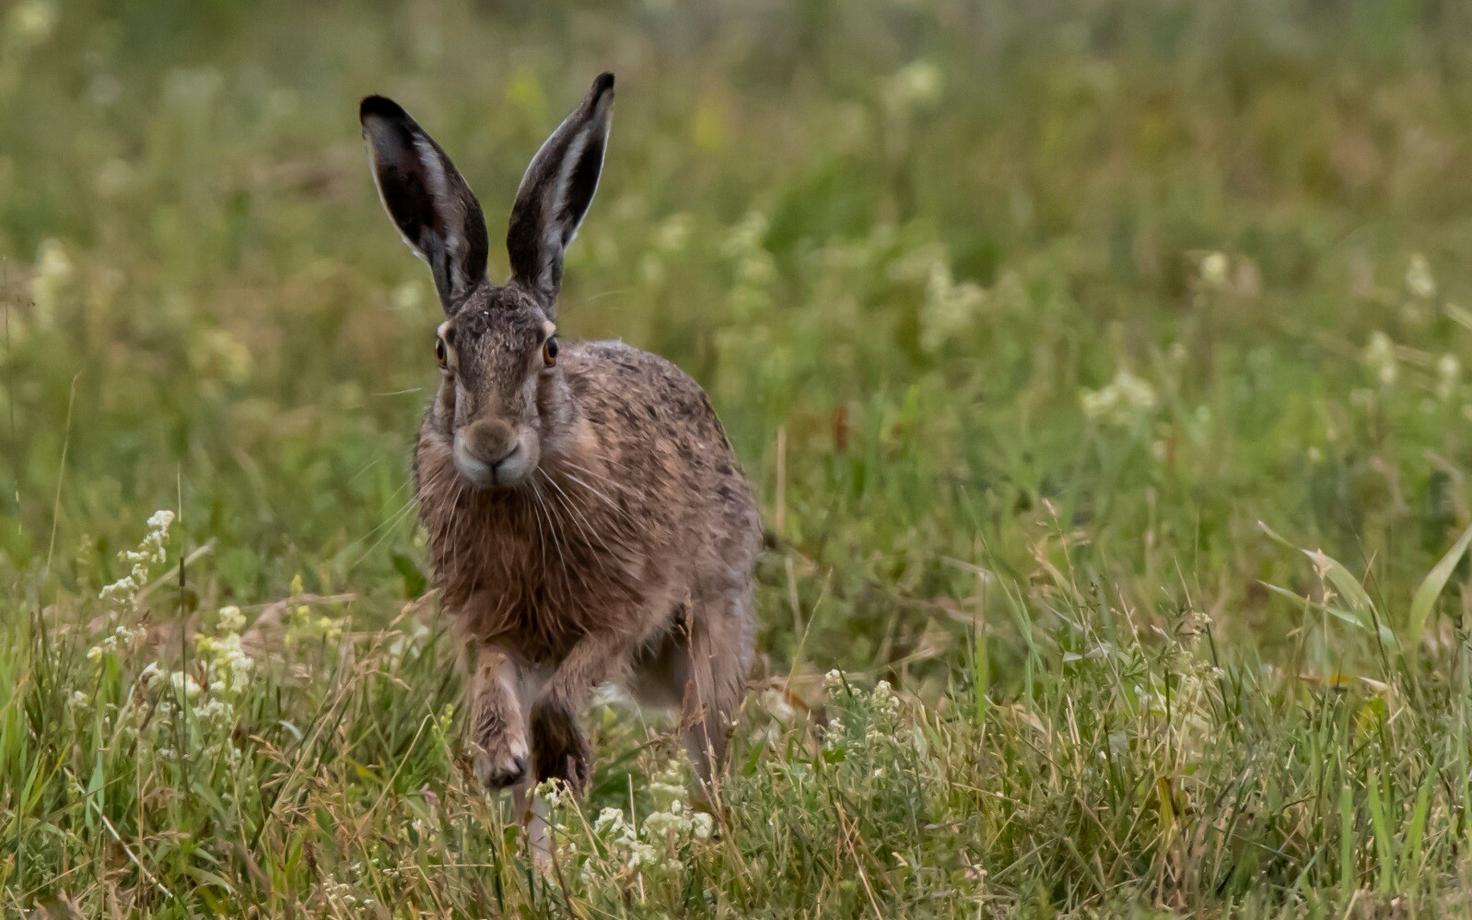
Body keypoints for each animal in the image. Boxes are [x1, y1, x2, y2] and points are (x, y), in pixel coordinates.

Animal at [359, 73, 761, 819]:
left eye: (548, 350)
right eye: (442, 352)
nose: (491, 443)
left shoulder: (627, 610)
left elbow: (571, 684)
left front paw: (560, 753)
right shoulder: (494, 627)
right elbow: (495, 680)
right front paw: (502, 759)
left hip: (714, 623)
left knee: (706, 741)